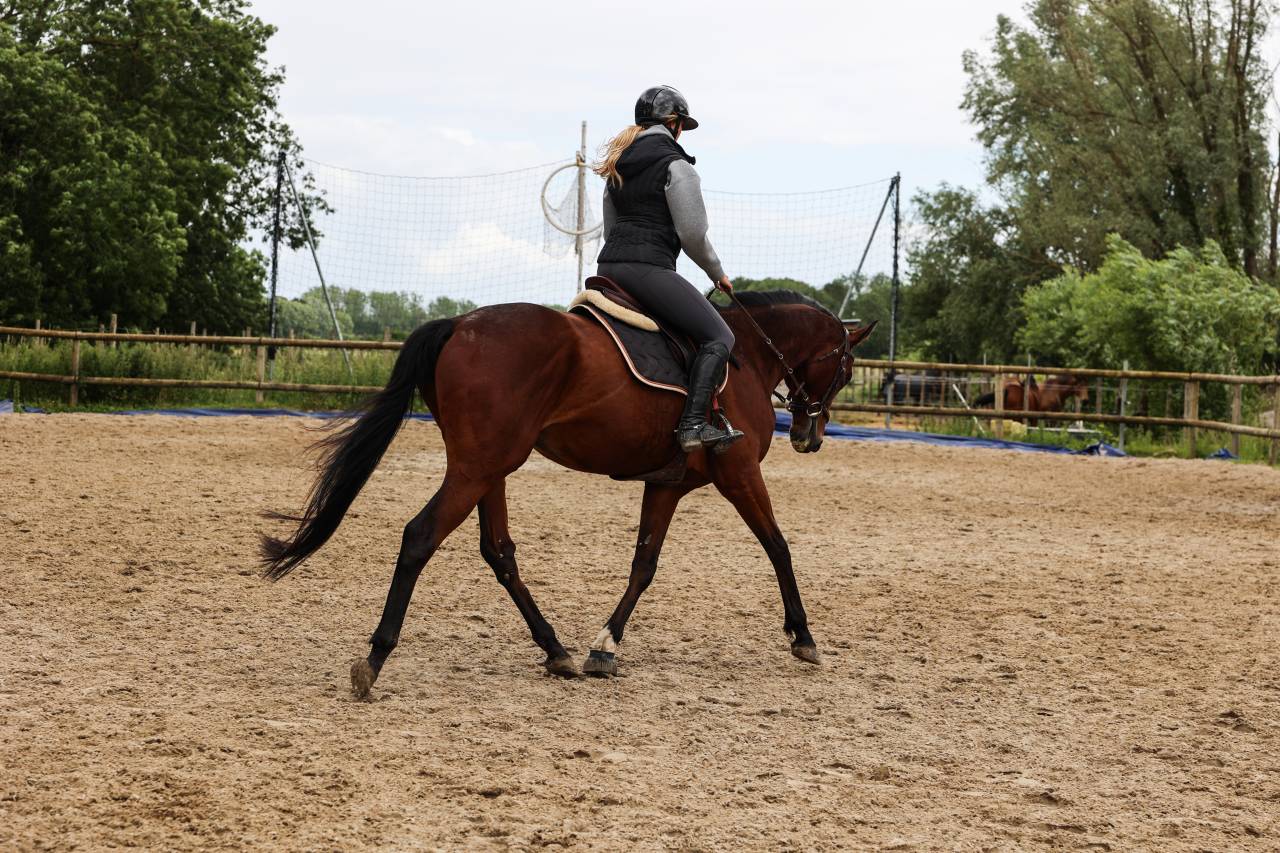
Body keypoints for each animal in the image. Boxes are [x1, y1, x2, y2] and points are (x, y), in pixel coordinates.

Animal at [260, 291, 876, 698]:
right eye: (845, 369)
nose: (810, 436)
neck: (746, 351)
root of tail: (460, 324)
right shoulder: (739, 472)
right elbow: (778, 546)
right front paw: (803, 635)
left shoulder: (667, 483)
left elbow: (644, 564)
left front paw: (604, 647)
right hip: (479, 467)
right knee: (420, 537)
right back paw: (375, 658)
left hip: (489, 468)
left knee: (498, 552)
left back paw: (555, 650)